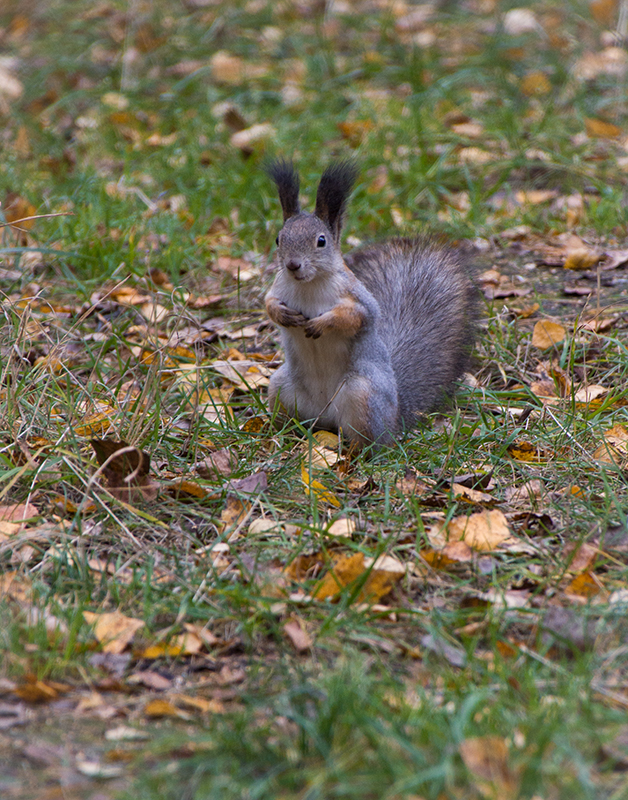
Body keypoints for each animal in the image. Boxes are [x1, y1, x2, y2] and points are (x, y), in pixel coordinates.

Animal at [264, 159, 476, 448]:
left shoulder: (358, 297)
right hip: (281, 389)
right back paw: (279, 435)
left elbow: (356, 316)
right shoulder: (279, 287)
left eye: (321, 241)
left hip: (362, 396)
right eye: (278, 239)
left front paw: (323, 323)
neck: (307, 285)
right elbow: (268, 303)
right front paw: (283, 314)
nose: (292, 265)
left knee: (371, 442)